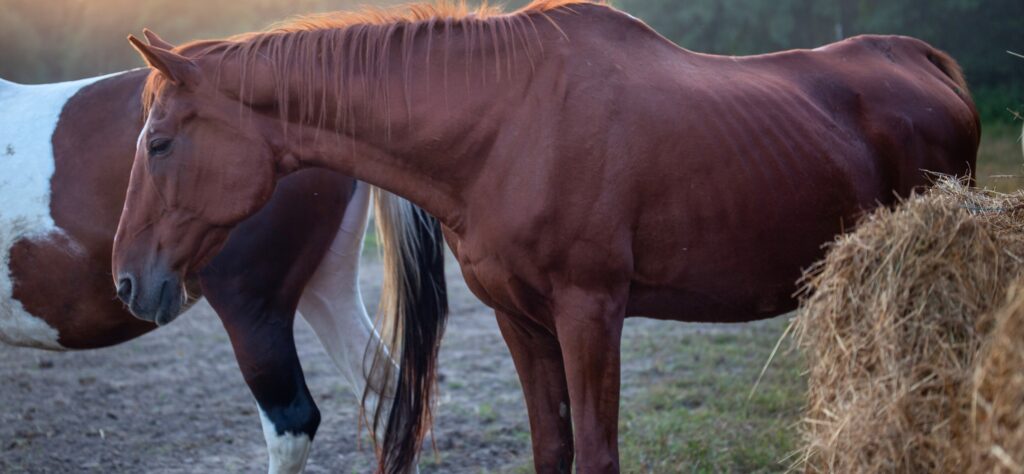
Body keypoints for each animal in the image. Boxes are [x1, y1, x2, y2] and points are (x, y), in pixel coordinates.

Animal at [0, 67, 443, 473]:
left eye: (158, 146)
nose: (125, 282)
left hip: (252, 312)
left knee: (292, 424)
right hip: (326, 288)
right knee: (387, 400)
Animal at [109, 1, 980, 472]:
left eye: (159, 143)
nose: (126, 281)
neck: (507, 124)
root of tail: (925, 62)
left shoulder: (590, 314)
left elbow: (596, 454)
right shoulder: (520, 321)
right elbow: (552, 448)